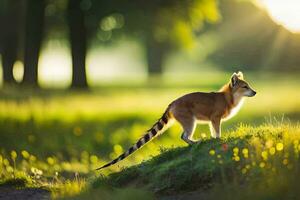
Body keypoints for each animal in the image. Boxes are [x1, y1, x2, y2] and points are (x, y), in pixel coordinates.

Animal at [97, 71, 256, 170]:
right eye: (245, 86)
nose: (255, 92)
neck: (229, 97)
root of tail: (172, 103)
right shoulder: (215, 117)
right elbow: (216, 129)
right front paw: (218, 138)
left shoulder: (213, 119)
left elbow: (213, 129)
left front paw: (214, 138)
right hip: (189, 118)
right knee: (184, 135)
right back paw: (193, 142)